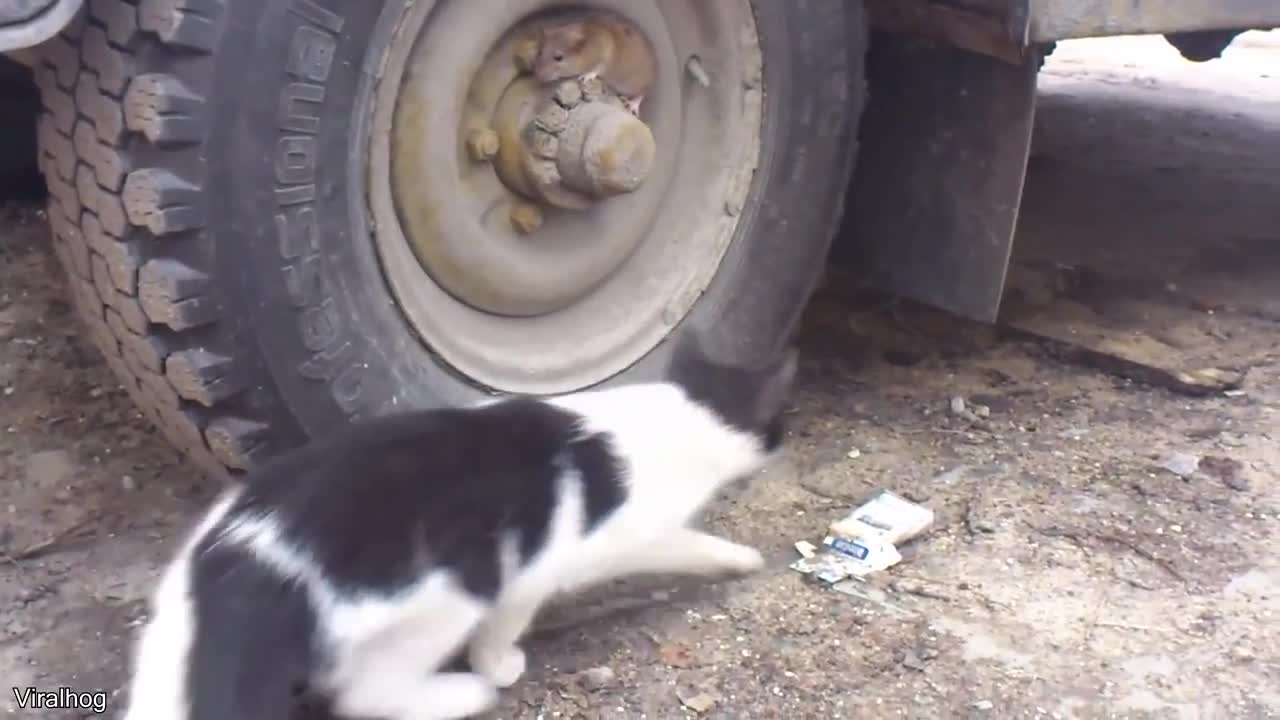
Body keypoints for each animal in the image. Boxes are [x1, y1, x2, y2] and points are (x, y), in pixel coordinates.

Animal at [122, 330, 798, 717]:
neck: (680, 413)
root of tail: (256, 548)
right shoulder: (546, 564)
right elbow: (687, 546)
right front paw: (740, 558)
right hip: (443, 595)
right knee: (364, 693)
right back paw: (460, 696)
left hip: (173, 633)